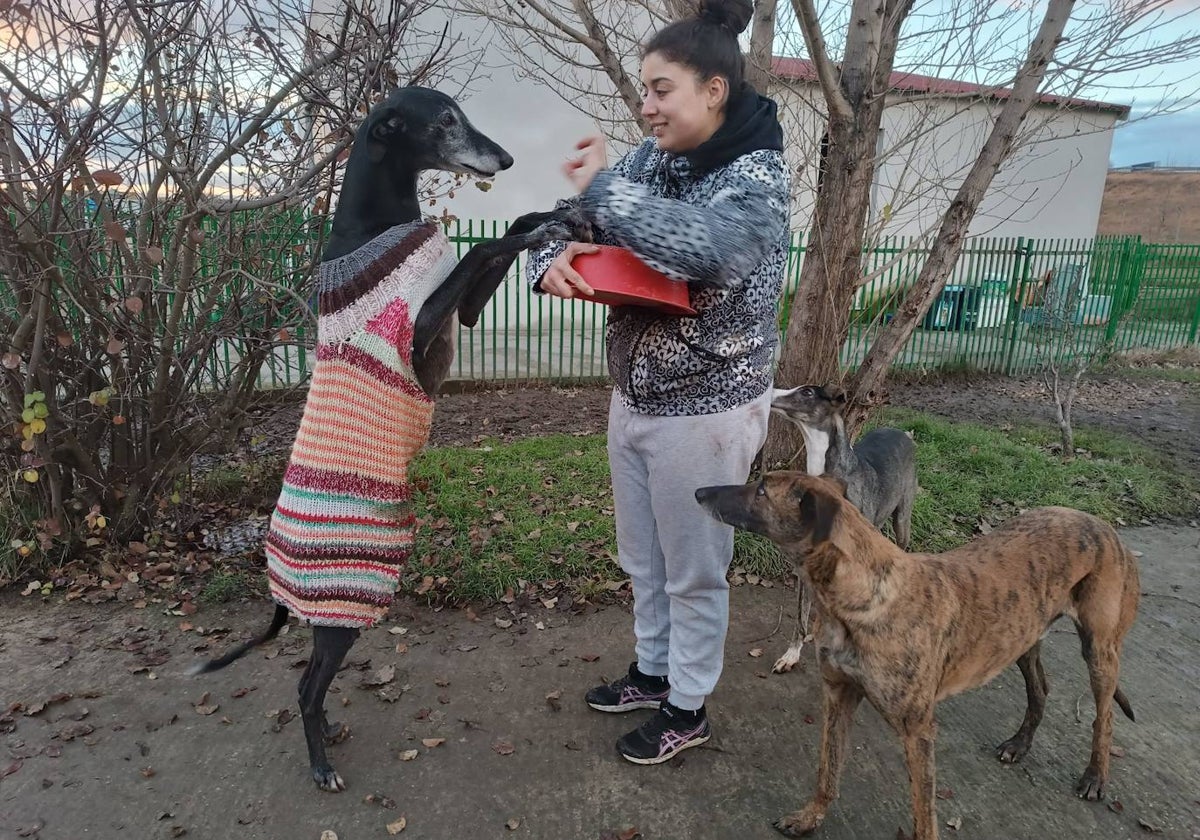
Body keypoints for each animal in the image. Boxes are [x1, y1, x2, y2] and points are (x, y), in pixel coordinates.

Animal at [696, 472, 1132, 840]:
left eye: (762, 490)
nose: (699, 492)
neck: (863, 596)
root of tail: (1100, 523)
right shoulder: (838, 697)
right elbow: (828, 771)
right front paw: (809, 818)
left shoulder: (918, 731)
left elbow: (924, 815)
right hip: (1022, 637)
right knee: (1040, 687)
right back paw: (1020, 744)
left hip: (1099, 650)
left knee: (1105, 716)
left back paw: (1095, 776)